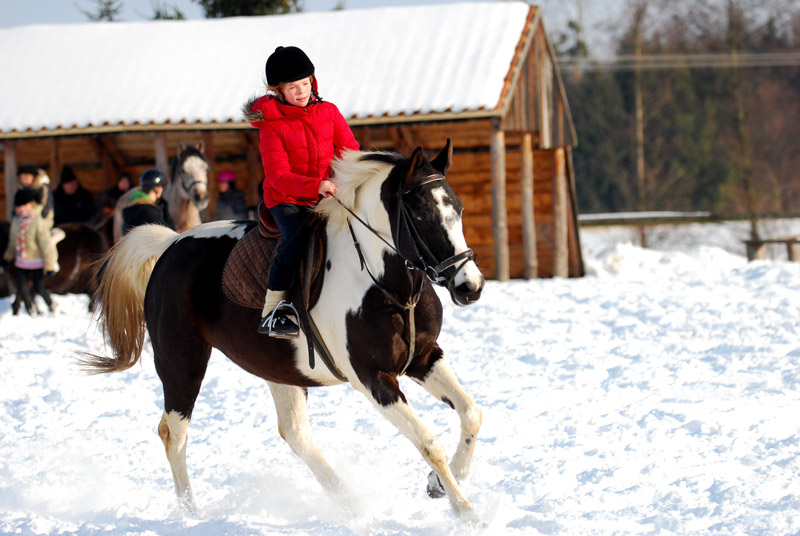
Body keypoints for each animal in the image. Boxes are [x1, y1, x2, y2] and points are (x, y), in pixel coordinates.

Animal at [86, 143, 488, 524]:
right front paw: (466, 512)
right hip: (182, 362)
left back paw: (351, 503)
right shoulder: (373, 378)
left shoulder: (424, 357)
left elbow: (471, 412)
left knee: (295, 433)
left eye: (458, 207)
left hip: (278, 367)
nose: (470, 286)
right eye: (421, 213)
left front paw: (442, 483)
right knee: (174, 433)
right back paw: (191, 514)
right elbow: (429, 443)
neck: (386, 285)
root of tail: (172, 243)